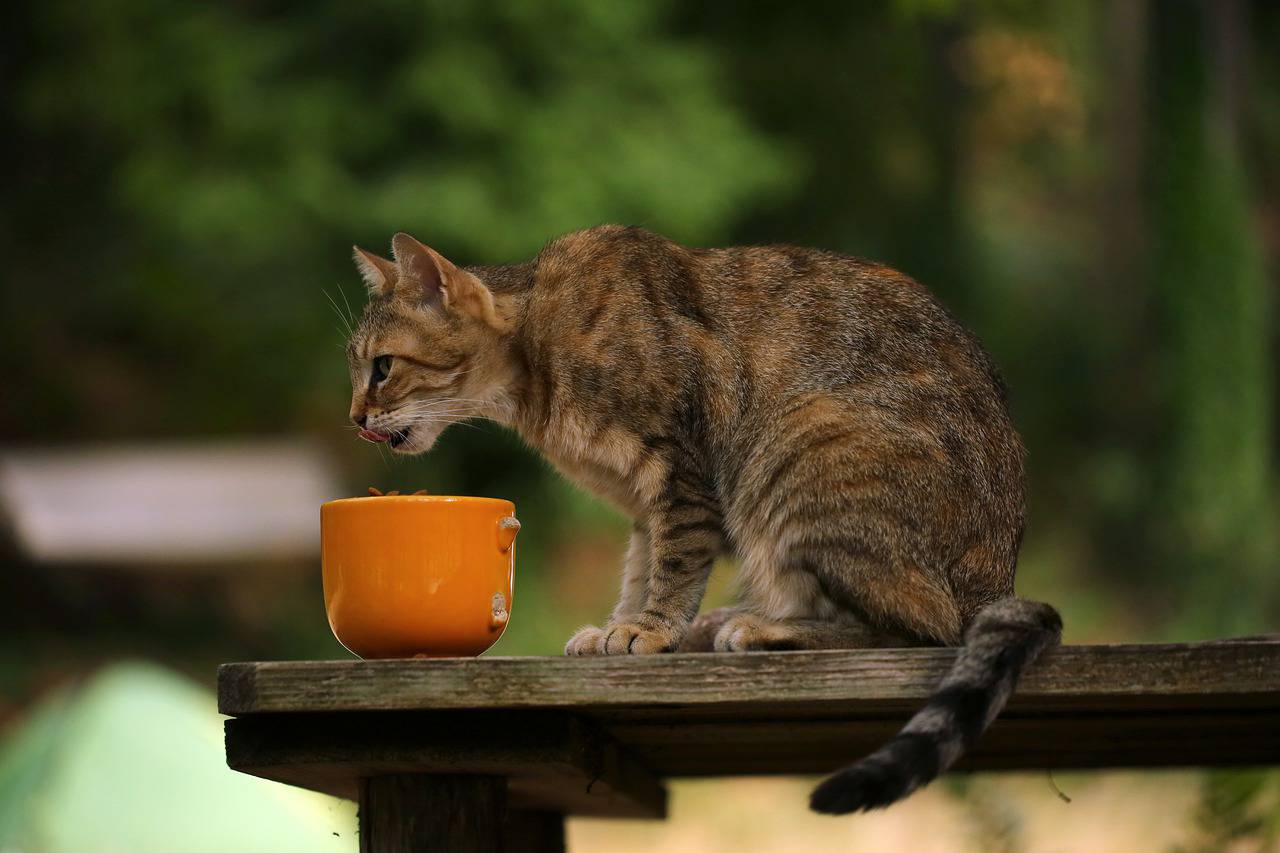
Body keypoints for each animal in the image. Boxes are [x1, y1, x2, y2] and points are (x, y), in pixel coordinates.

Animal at [340, 225, 1059, 809]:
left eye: (383, 367)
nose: (354, 417)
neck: (535, 357)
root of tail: (997, 581)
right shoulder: (643, 502)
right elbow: (640, 569)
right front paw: (622, 626)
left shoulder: (680, 473)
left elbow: (675, 566)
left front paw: (649, 630)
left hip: (802, 448)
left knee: (921, 628)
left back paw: (762, 629)